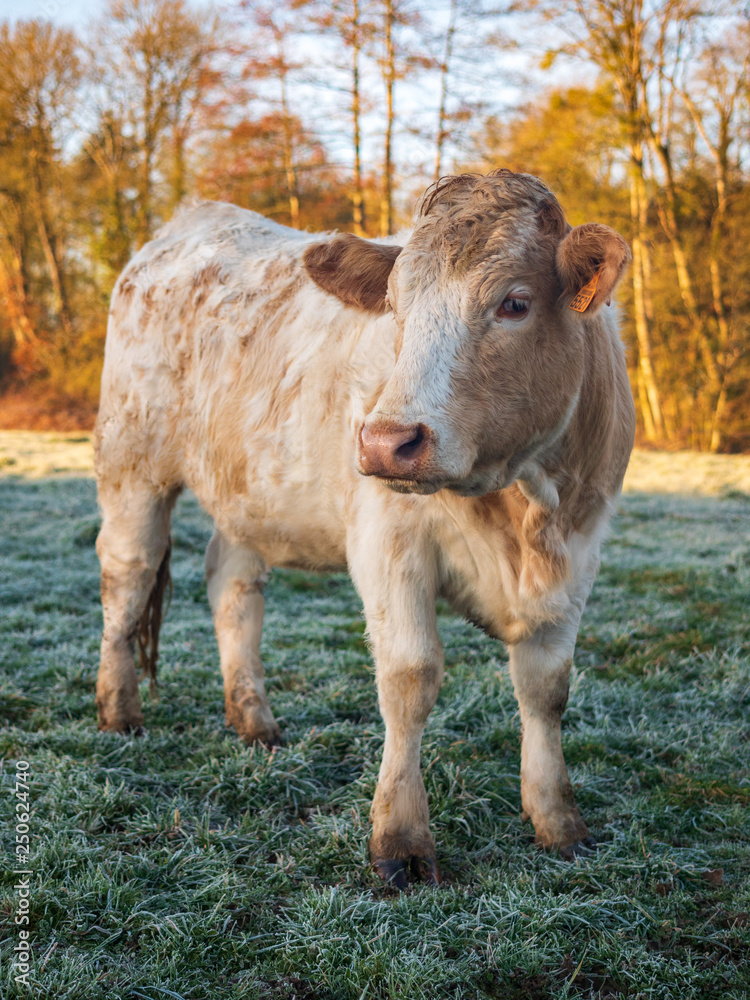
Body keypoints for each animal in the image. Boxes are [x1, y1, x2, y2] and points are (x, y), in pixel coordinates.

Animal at [92, 168, 636, 888]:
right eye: (395, 307)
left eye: (515, 303)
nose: (385, 442)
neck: (525, 510)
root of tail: (190, 220)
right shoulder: (388, 540)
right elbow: (410, 677)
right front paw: (400, 841)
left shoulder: (580, 549)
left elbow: (547, 689)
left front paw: (559, 823)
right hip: (132, 467)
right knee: (127, 577)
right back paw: (119, 712)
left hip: (247, 494)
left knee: (232, 586)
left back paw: (254, 720)